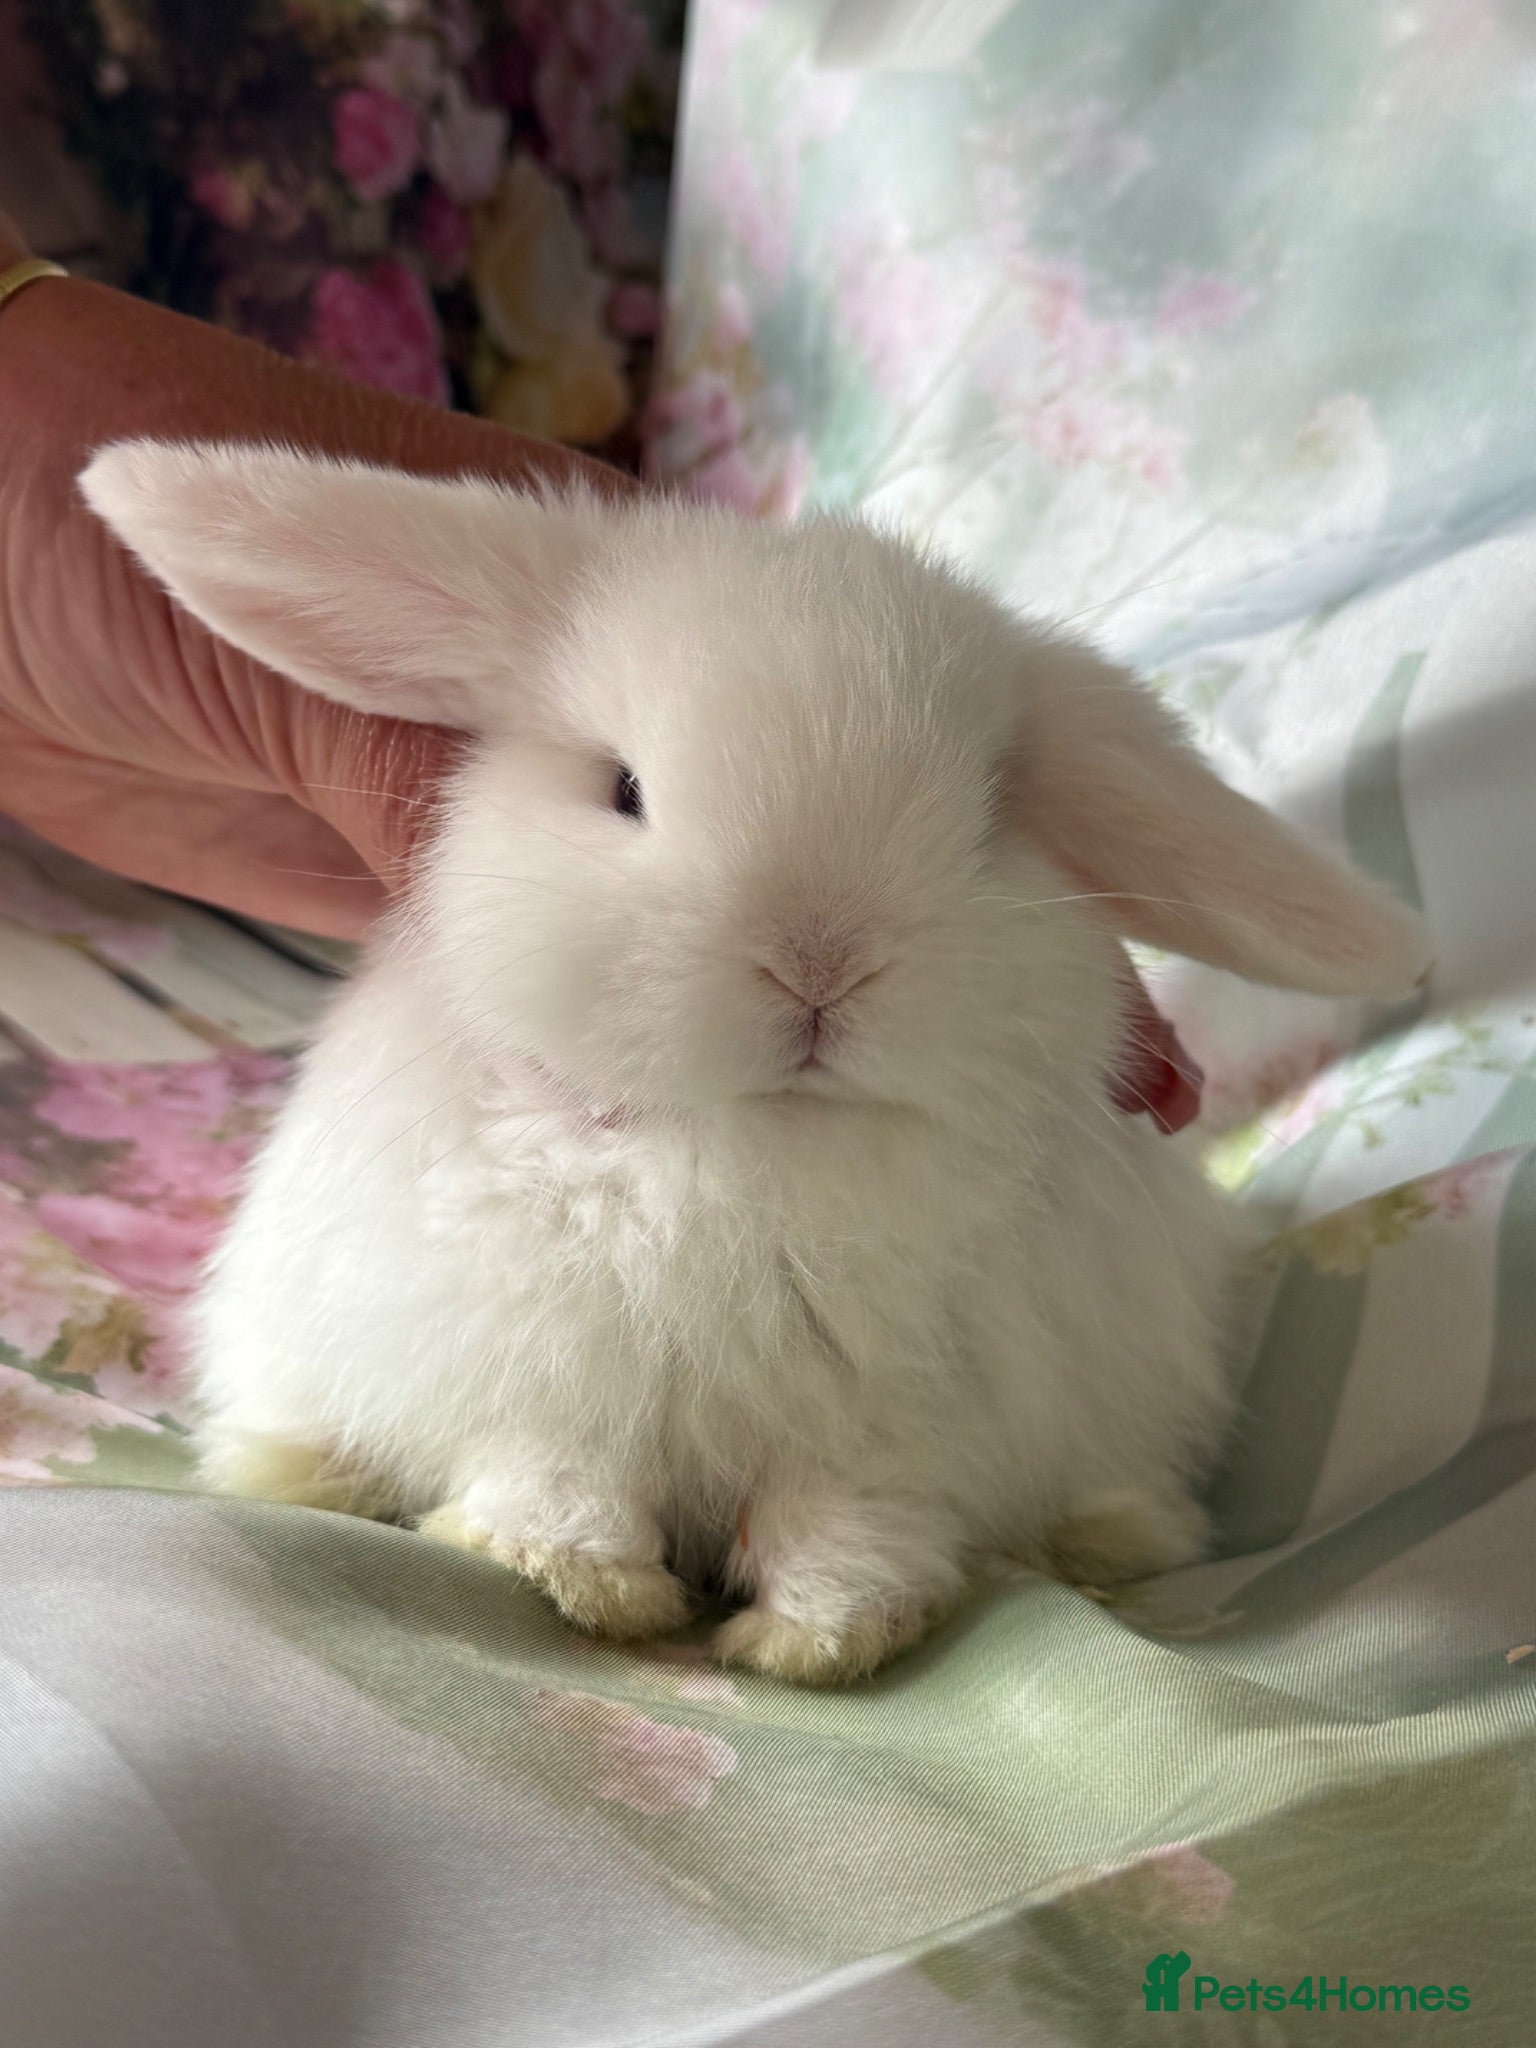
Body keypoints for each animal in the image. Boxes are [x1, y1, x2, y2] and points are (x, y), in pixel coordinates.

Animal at [80, 439, 1431, 1684]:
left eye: (994, 818)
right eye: (625, 788)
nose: (817, 960)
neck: (750, 1139)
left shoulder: (891, 1437)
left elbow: (855, 1536)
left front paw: (814, 1642)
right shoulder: (534, 1380)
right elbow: (554, 1486)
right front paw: (591, 1587)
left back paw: (1105, 1536)